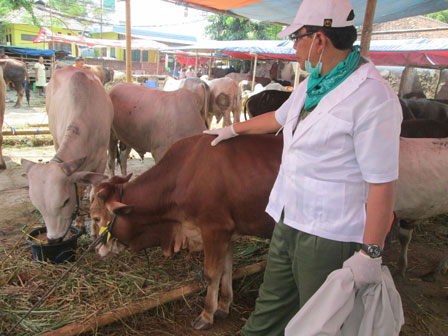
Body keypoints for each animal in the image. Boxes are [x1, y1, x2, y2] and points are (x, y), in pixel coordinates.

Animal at [21, 67, 114, 243]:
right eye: (38, 206)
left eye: (65, 201)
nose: (53, 239)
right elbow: (78, 189)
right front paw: (79, 223)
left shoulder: (101, 160)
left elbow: (94, 191)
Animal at [89, 133, 282, 328]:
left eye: (96, 217)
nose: (95, 248)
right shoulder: (228, 234)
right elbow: (226, 269)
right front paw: (223, 306)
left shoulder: (215, 229)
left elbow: (211, 274)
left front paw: (206, 315)